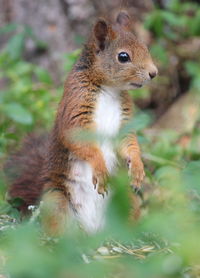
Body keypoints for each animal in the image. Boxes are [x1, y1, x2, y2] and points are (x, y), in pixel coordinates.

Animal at [5, 10, 158, 235]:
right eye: (123, 57)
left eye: (145, 47)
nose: (154, 73)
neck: (109, 89)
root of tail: (94, 232)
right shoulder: (76, 107)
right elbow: (81, 142)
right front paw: (100, 169)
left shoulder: (125, 121)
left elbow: (129, 142)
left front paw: (138, 168)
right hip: (55, 202)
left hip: (127, 201)